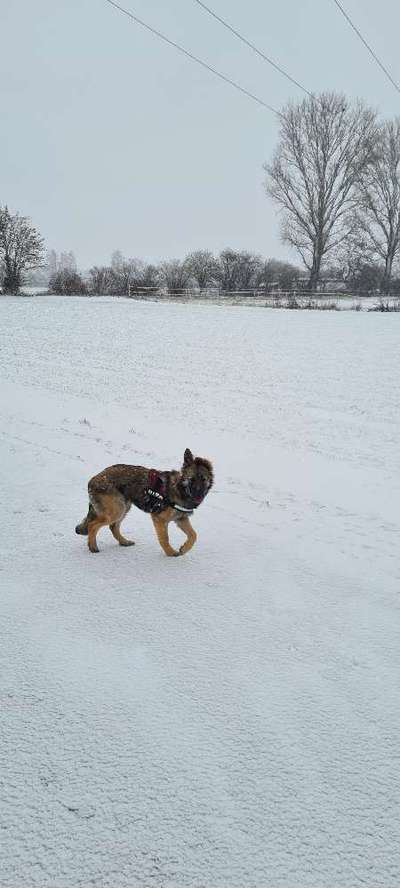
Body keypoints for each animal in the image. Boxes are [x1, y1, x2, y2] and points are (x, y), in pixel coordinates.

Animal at [75, 448, 212, 560]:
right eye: (191, 480)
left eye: (203, 479)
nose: (198, 495)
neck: (178, 488)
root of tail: (94, 479)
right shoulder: (159, 519)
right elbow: (165, 538)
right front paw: (170, 553)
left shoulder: (181, 519)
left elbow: (193, 535)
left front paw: (184, 548)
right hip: (116, 510)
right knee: (93, 525)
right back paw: (93, 547)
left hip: (124, 508)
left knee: (113, 527)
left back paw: (124, 542)